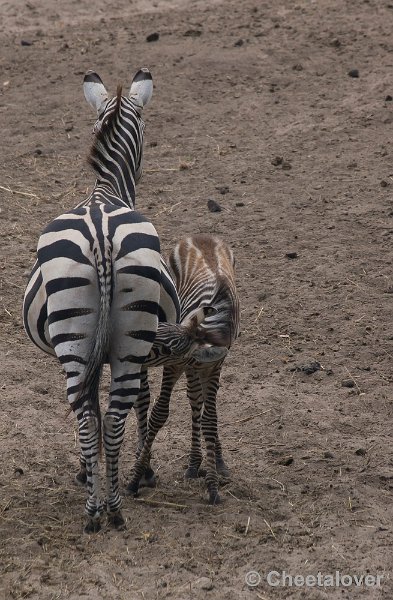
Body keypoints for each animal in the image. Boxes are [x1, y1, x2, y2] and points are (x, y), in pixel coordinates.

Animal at [129, 234, 239, 506]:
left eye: (166, 347)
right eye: (158, 332)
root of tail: (202, 236)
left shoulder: (213, 365)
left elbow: (210, 418)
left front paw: (213, 484)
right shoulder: (176, 365)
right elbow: (159, 414)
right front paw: (136, 478)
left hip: (200, 369)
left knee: (199, 403)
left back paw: (206, 461)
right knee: (194, 400)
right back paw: (195, 462)